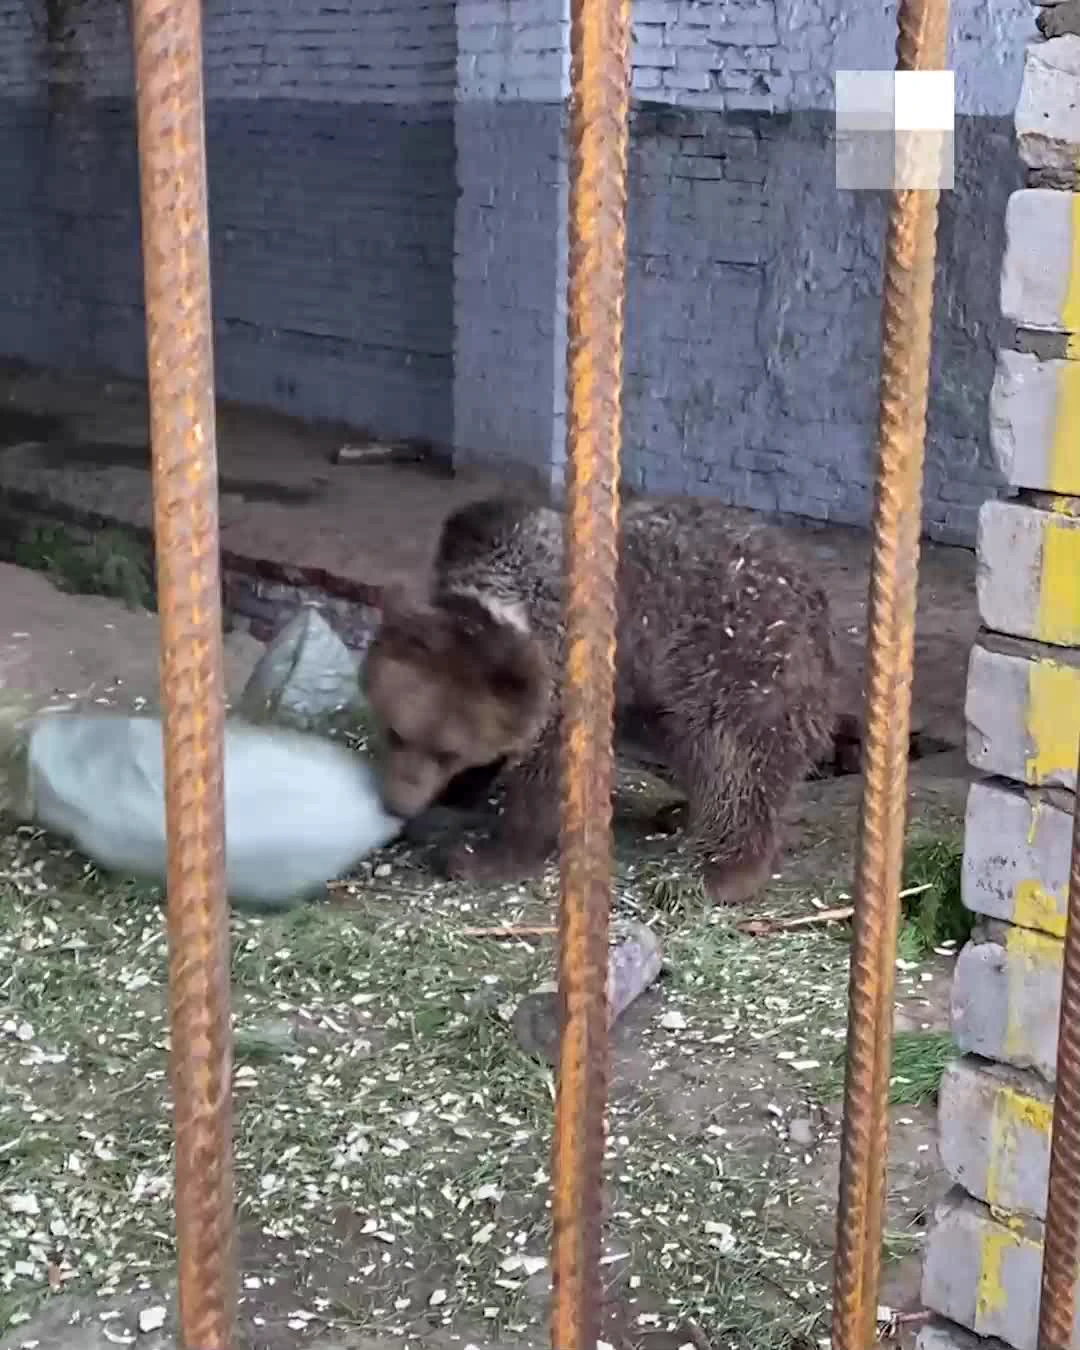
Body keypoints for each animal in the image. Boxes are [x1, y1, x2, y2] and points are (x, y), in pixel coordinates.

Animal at [361, 491, 842, 901]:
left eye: (447, 751)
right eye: (395, 731)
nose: (396, 803)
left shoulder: (568, 679)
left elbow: (549, 778)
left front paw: (483, 856)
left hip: (735, 664)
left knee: (733, 760)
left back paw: (724, 870)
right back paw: (681, 814)